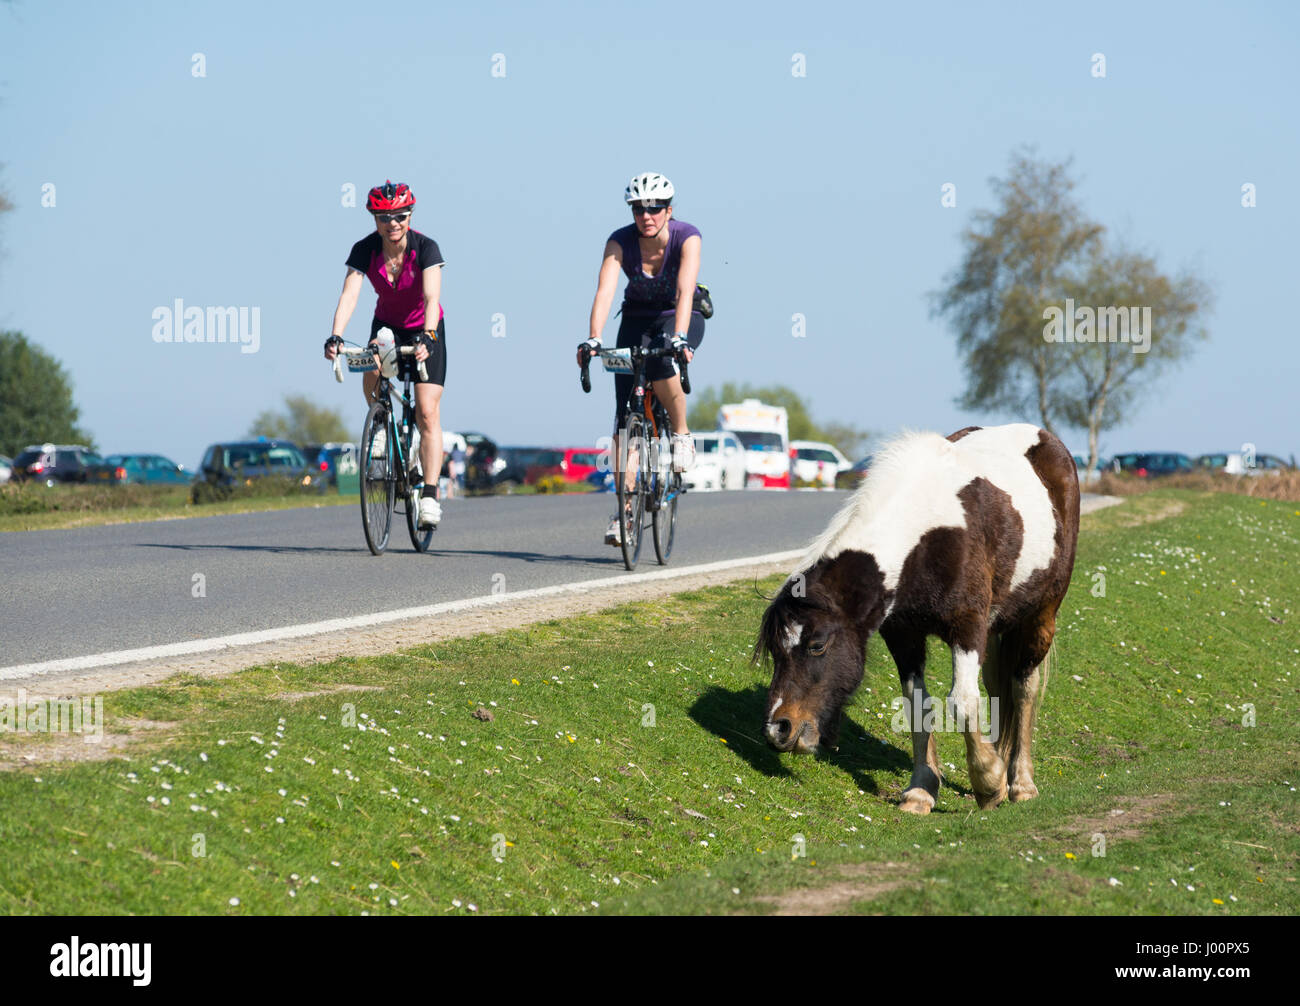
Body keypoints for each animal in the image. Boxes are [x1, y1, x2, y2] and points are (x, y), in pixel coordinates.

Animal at [754, 423, 1076, 811]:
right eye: (776, 650)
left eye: (817, 645)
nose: (778, 729)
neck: (928, 534)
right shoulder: (903, 635)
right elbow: (918, 707)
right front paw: (922, 789)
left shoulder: (968, 628)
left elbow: (963, 702)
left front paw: (987, 782)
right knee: (1000, 688)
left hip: (1040, 617)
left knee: (1024, 688)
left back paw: (1021, 782)